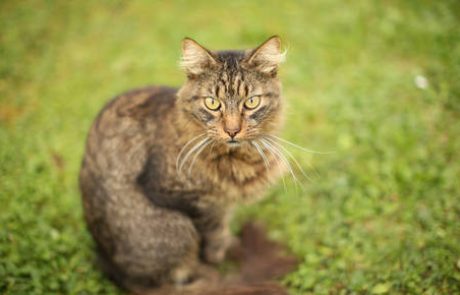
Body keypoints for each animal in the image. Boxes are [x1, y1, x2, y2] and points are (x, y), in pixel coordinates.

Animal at [78, 35, 294, 294]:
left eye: (251, 102)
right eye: (212, 103)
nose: (232, 130)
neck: (236, 156)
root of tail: (111, 269)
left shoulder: (223, 200)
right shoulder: (186, 198)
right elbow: (213, 230)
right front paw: (218, 256)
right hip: (175, 228)